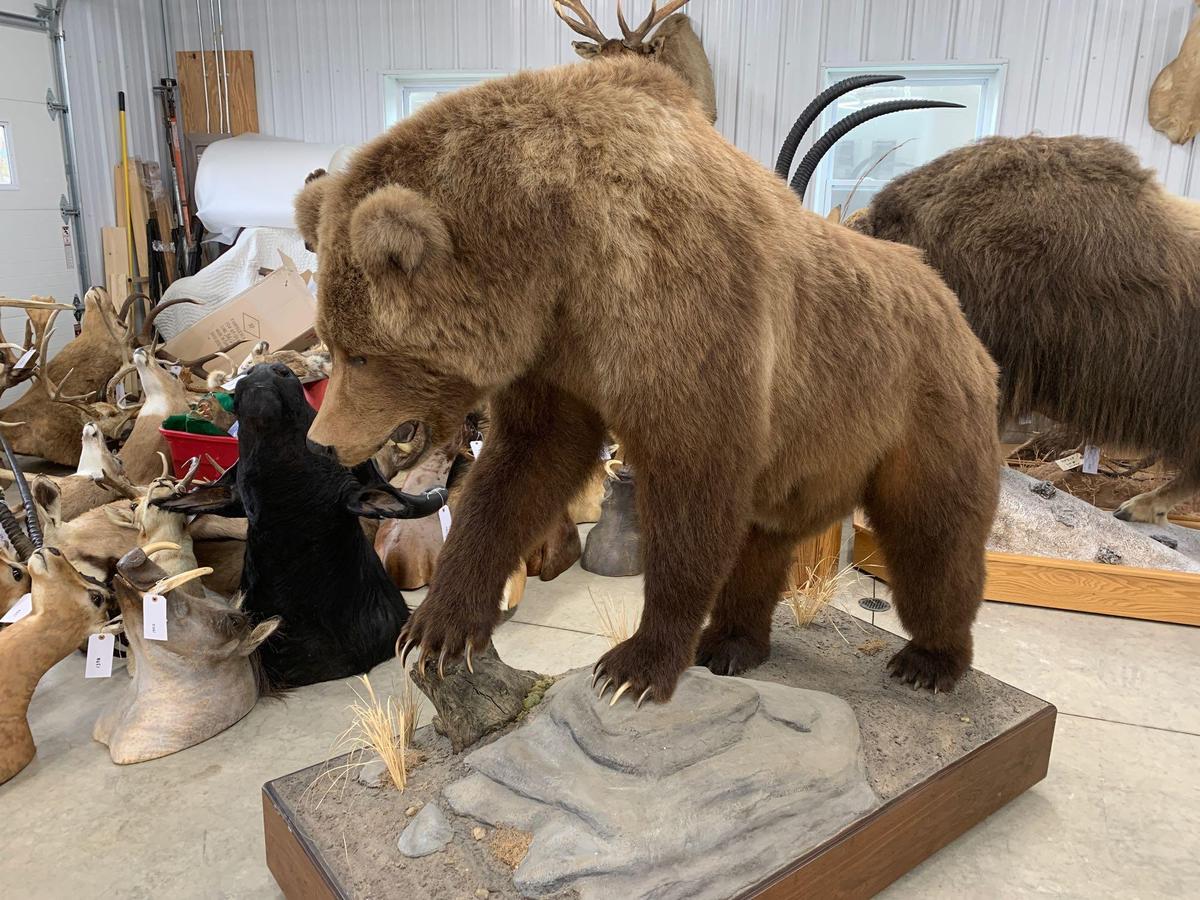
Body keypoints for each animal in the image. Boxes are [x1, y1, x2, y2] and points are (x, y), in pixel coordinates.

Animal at [300, 56, 1003, 710]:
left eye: (361, 355)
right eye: (331, 341)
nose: (321, 441)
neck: (556, 254)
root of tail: (951, 302)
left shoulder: (680, 308)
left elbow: (692, 487)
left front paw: (633, 666)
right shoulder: (558, 356)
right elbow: (521, 470)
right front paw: (436, 630)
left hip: (921, 406)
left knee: (934, 534)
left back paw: (929, 660)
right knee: (762, 540)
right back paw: (732, 643)